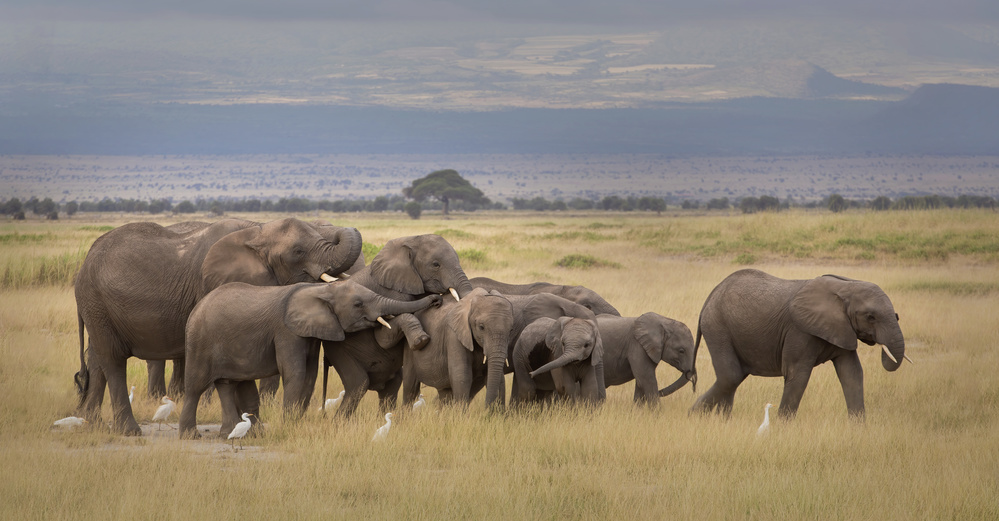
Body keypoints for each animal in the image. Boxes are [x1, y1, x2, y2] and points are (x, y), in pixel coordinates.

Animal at [75, 217, 364, 432]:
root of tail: (84, 261)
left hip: (97, 308)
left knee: (97, 359)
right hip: (96, 301)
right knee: (112, 360)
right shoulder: (212, 285)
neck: (257, 231)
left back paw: (93, 425)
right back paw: (129, 431)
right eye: (298, 252)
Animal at [182, 278, 440, 436]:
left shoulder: (312, 333)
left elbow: (310, 376)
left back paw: (238, 433)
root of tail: (196, 307)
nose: (437, 298)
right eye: (358, 304)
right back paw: (191, 436)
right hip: (199, 341)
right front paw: (288, 427)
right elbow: (296, 373)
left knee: (228, 384)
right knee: (195, 386)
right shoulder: (286, 330)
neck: (318, 290)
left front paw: (294, 423)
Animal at [696, 268, 908, 418]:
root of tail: (711, 295)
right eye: (871, 317)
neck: (845, 286)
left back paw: (721, 421)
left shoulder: (842, 330)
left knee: (734, 377)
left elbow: (852, 373)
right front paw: (782, 427)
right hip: (717, 327)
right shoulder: (799, 331)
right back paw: (694, 416)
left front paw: (858, 428)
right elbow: (798, 374)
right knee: (730, 376)